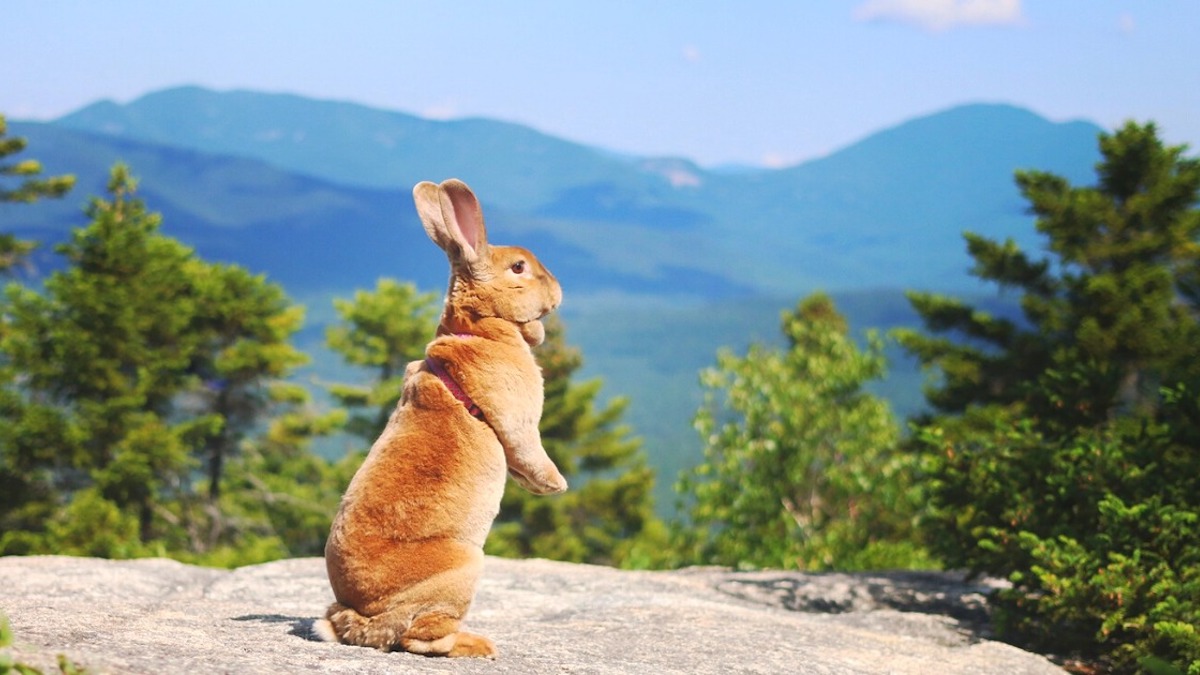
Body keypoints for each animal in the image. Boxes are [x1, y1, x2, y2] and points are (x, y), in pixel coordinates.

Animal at [314, 176, 566, 653]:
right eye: (519, 268)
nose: (559, 290)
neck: (479, 328)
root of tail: (363, 622)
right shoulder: (520, 419)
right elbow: (530, 450)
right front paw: (556, 485)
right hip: (464, 567)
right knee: (421, 637)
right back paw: (476, 645)